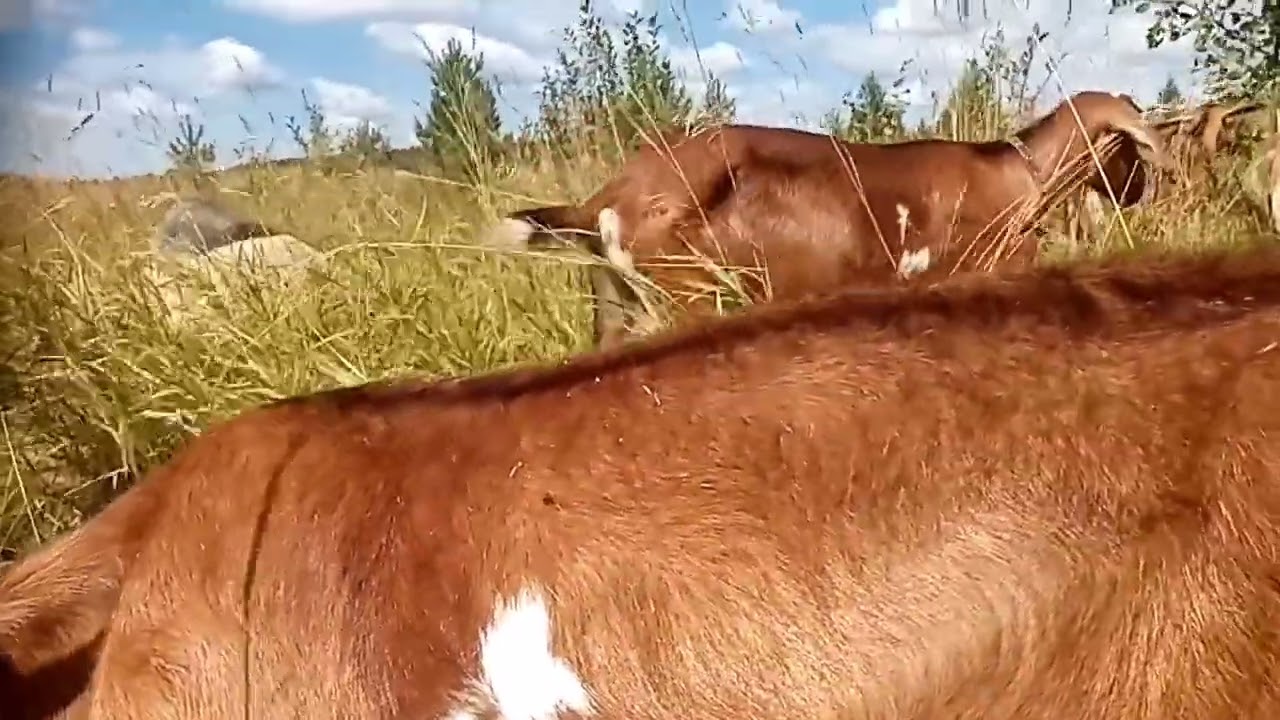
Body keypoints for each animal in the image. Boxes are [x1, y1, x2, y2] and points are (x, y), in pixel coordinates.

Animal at [483, 90, 1175, 347]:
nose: (1139, 191)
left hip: (617, 308)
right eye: (1131, 150)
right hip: (686, 301)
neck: (1016, 171)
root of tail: (608, 197)